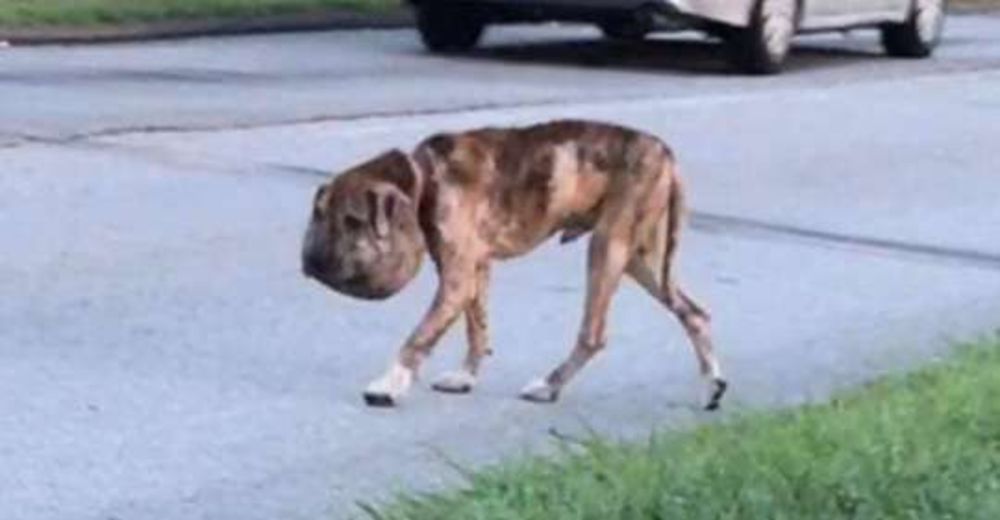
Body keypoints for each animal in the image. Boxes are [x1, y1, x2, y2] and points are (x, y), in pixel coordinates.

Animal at [298, 120, 728, 408]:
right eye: (319, 214)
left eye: (353, 220)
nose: (311, 261)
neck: (426, 178)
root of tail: (666, 154)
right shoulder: (474, 273)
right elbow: (477, 329)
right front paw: (466, 376)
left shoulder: (456, 280)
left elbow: (420, 336)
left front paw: (390, 383)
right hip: (643, 262)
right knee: (694, 313)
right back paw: (711, 384)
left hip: (608, 249)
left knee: (593, 334)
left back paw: (550, 386)